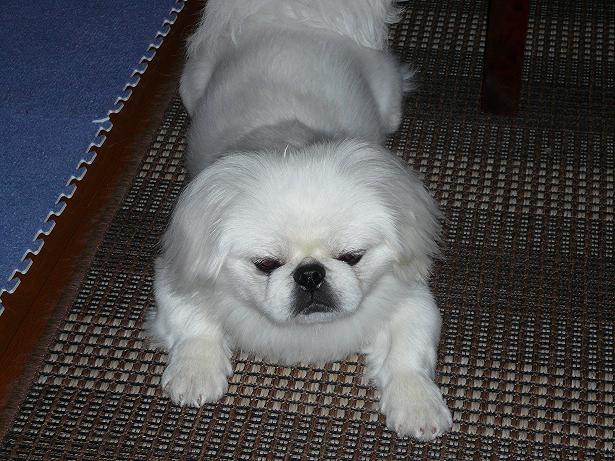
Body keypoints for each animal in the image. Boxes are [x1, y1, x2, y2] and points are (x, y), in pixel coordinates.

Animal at [149, 0, 452, 440]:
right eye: (266, 265)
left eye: (353, 257)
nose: (310, 274)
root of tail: (287, 18)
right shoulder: (180, 266)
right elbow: (193, 325)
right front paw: (195, 373)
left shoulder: (410, 295)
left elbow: (406, 354)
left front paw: (417, 405)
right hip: (190, 86)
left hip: (390, 103)